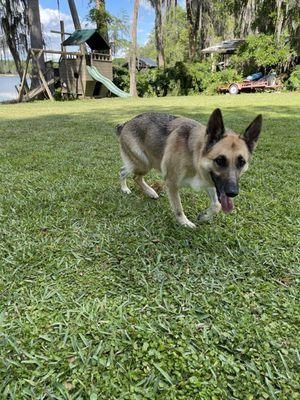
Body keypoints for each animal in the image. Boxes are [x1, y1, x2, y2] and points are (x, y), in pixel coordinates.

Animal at [116, 109, 262, 228]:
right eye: (220, 160)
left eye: (241, 162)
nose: (232, 192)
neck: (194, 155)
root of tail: (126, 123)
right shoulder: (172, 183)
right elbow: (178, 208)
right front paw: (185, 223)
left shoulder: (209, 180)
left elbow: (217, 205)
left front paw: (204, 216)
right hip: (143, 163)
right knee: (127, 173)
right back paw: (127, 189)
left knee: (132, 175)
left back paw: (148, 191)